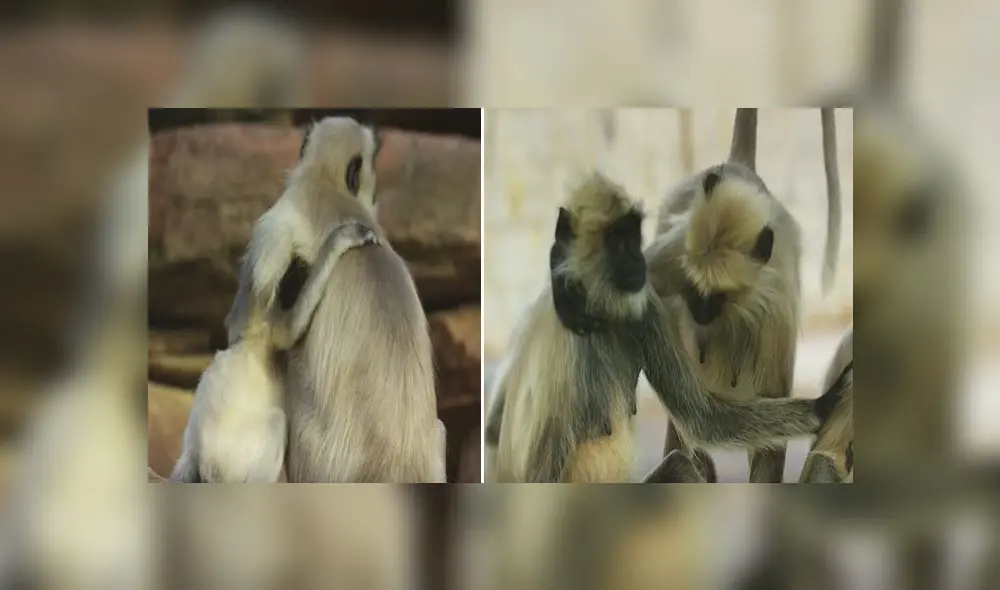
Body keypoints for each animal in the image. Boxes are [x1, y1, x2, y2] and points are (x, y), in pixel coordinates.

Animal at [169, 219, 380, 483]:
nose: (294, 282)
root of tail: (195, 453)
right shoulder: (265, 325)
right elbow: (291, 327)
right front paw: (342, 239)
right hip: (232, 462)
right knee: (277, 423)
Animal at [488, 171, 843, 483]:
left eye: (633, 235)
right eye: (617, 239)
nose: (636, 259)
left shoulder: (647, 305)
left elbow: (704, 419)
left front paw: (828, 402)